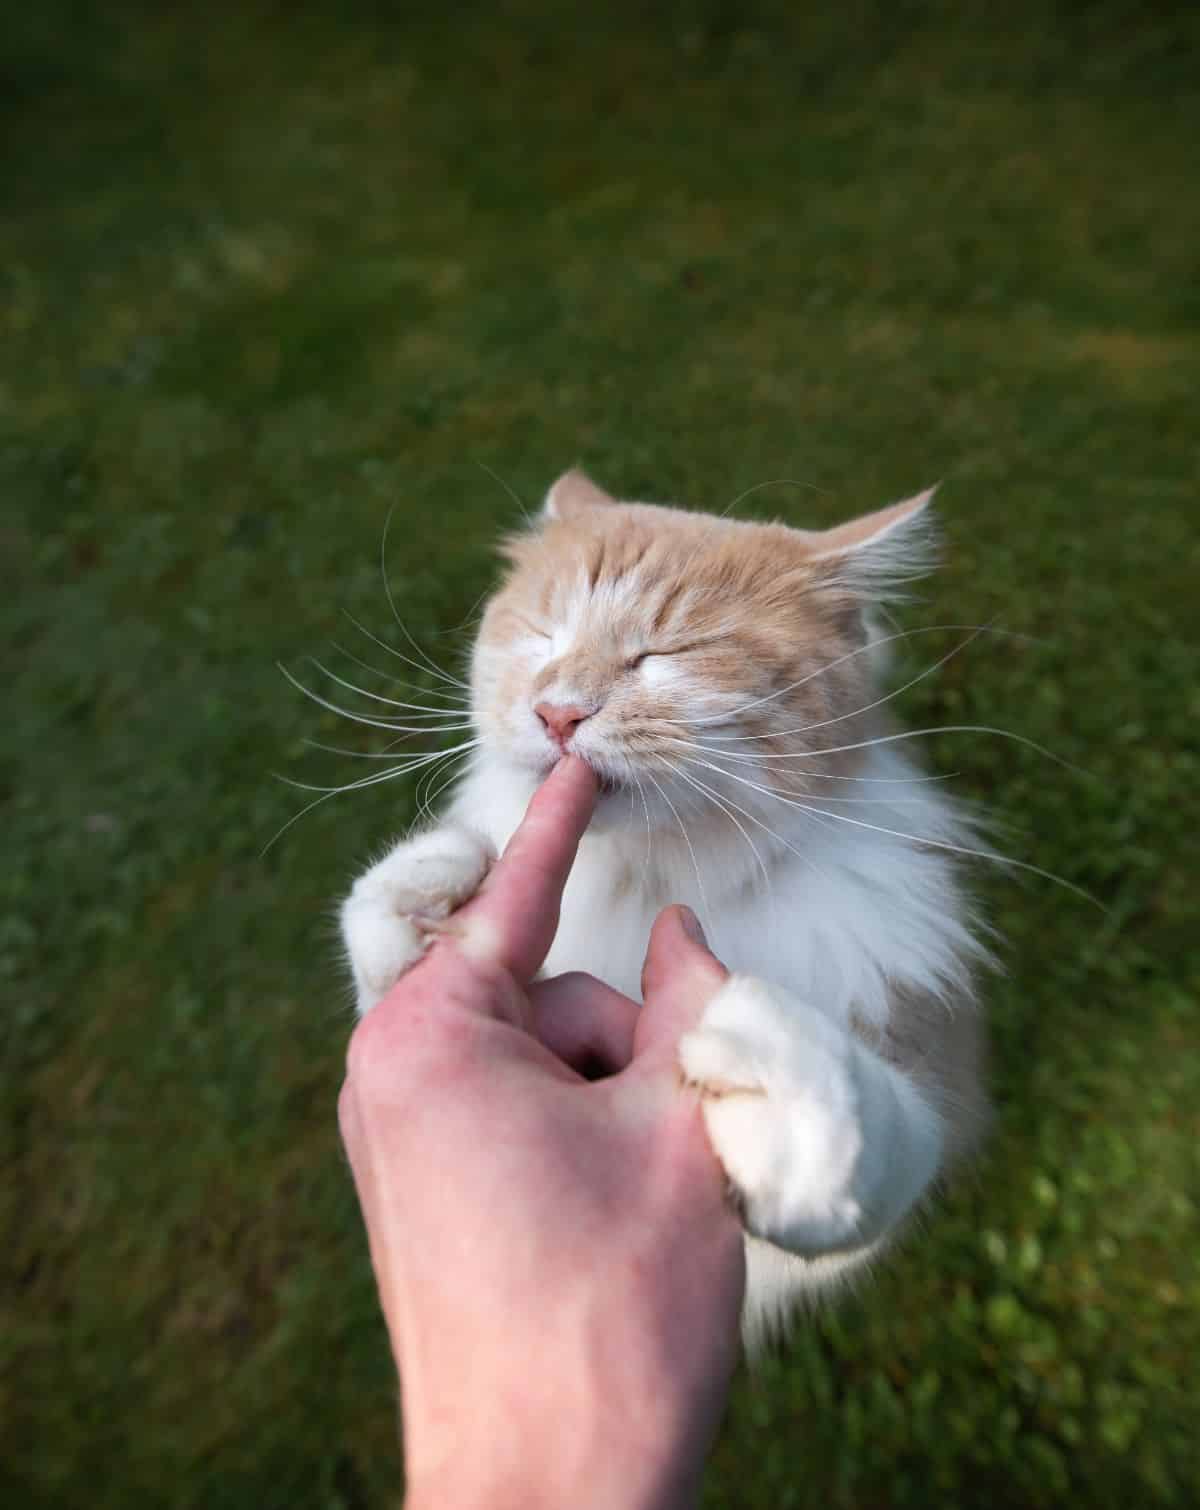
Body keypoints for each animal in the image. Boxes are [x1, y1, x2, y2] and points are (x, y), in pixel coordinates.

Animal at [335, 471, 984, 1346]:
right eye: (543, 636)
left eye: (664, 654)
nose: (557, 712)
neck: (644, 881)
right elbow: (382, 957)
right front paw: (427, 890)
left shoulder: (931, 1079)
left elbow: (883, 1137)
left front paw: (789, 1096)